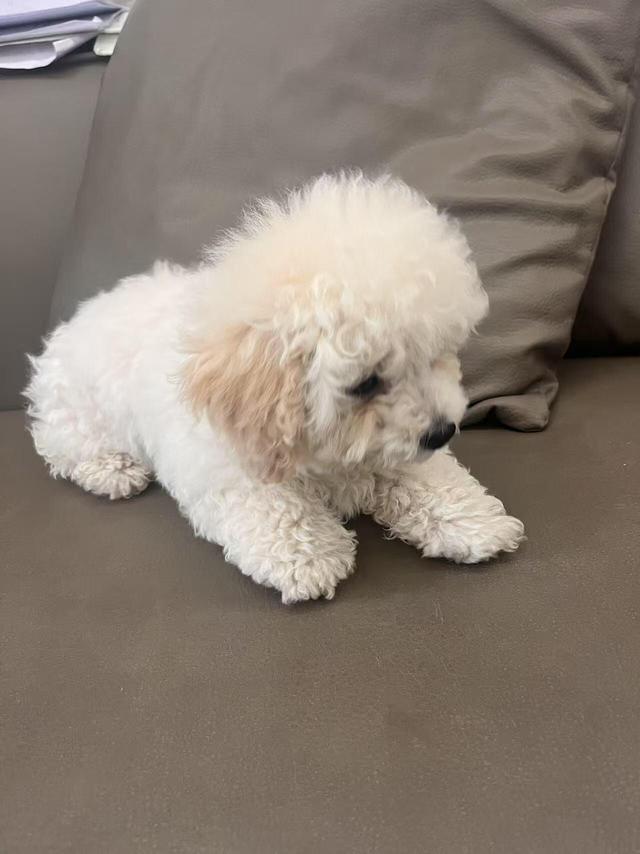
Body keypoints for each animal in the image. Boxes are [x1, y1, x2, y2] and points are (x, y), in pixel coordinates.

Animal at [25, 173, 524, 603]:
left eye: (436, 354)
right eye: (366, 383)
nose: (442, 431)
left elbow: (428, 475)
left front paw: (472, 521)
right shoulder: (226, 466)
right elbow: (275, 506)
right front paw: (310, 556)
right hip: (77, 413)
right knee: (63, 447)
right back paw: (112, 469)